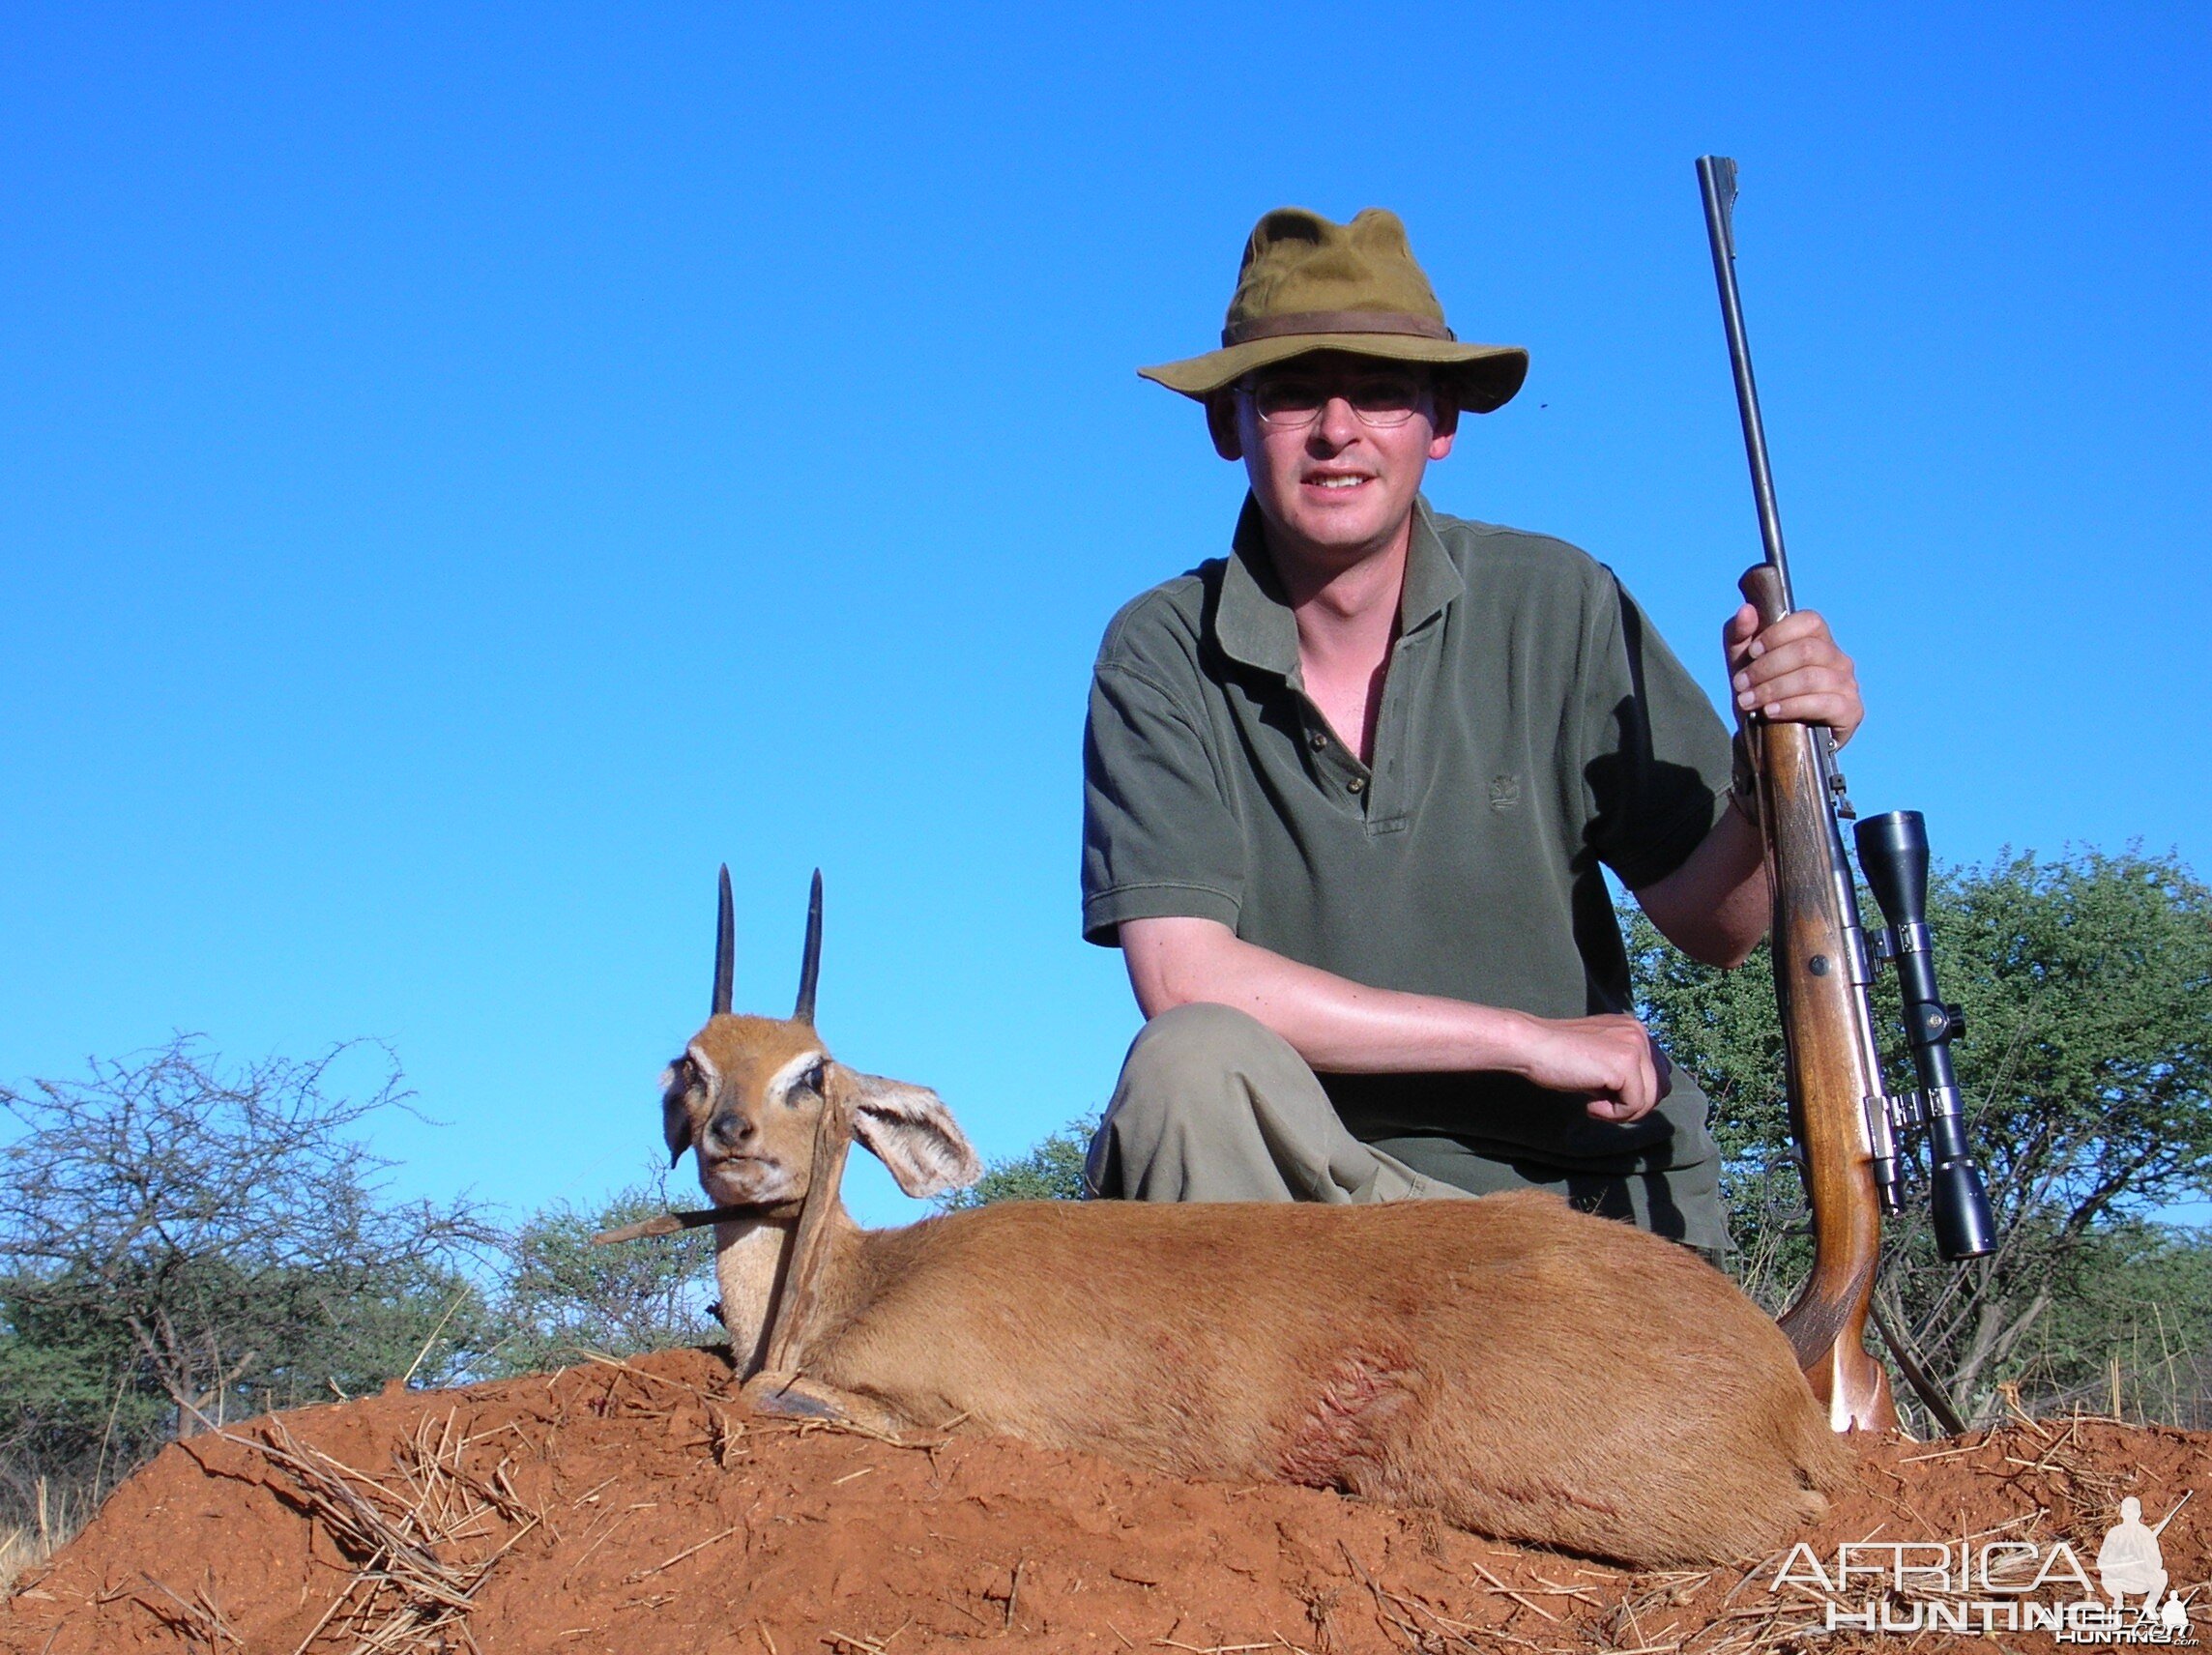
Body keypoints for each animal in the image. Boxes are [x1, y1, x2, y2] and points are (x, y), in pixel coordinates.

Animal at [650, 867, 1848, 1566]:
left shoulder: (925, 1401)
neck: (851, 1281)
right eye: (692, 1065)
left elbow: (773, 1401)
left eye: (814, 1072)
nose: (735, 1139)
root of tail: (1774, 1376)